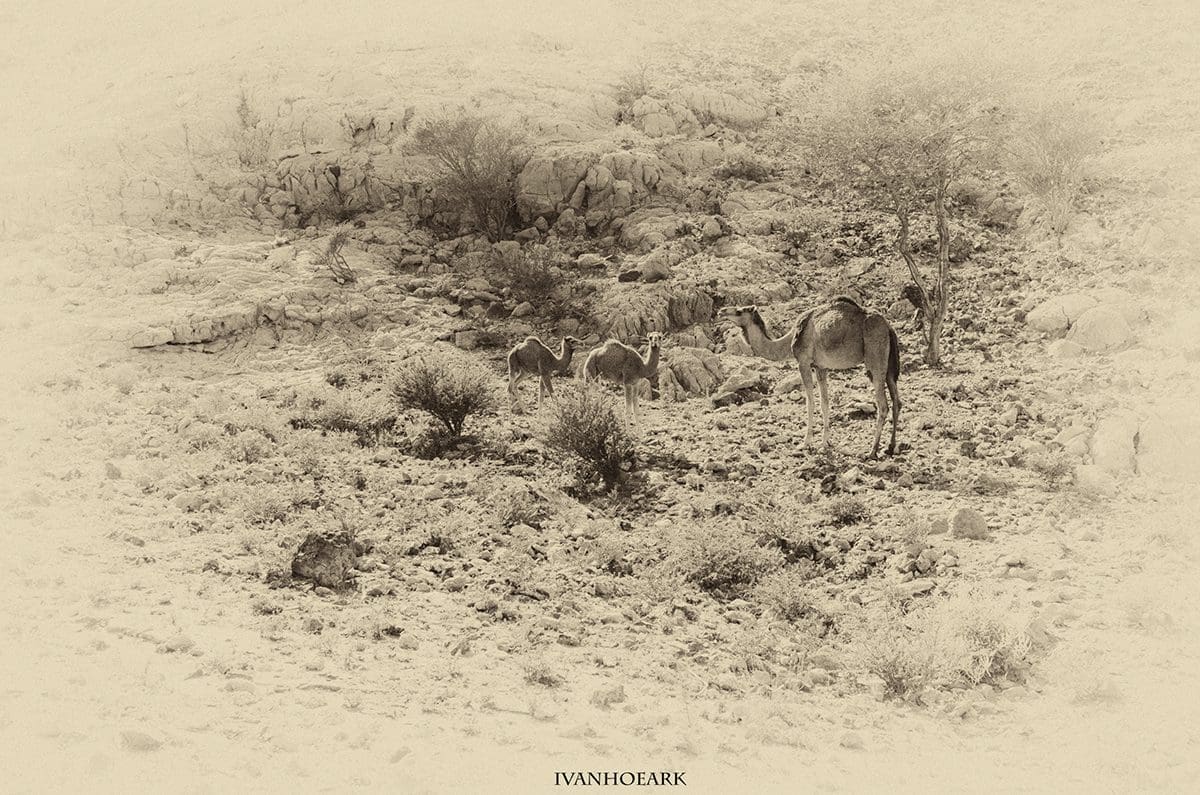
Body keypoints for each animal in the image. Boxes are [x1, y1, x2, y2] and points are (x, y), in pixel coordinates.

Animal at [720, 297, 902, 461]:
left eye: (739, 311)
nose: (722, 311)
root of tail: (888, 327)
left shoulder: (804, 362)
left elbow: (810, 402)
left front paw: (806, 443)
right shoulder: (820, 367)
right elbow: (824, 402)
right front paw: (826, 442)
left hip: (875, 359)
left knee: (883, 405)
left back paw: (872, 451)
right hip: (889, 366)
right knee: (897, 401)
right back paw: (890, 447)